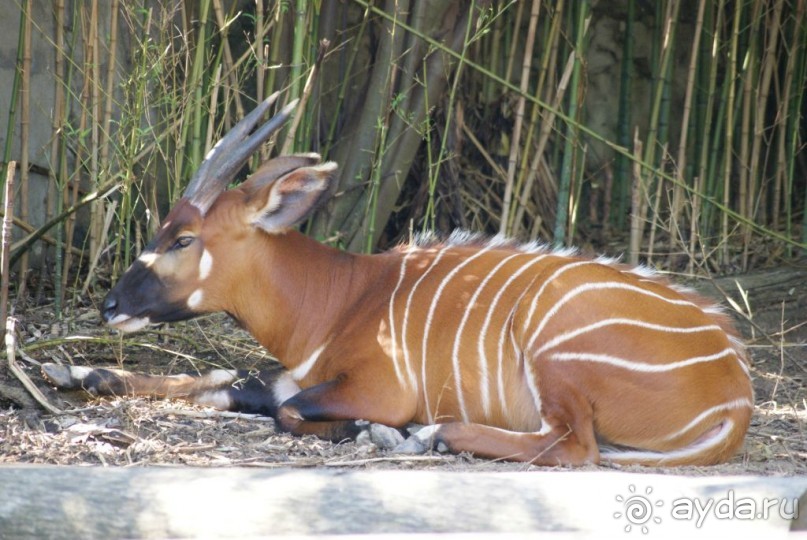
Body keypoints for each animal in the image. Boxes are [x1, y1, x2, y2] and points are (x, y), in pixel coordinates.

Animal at [44, 95, 756, 466]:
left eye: (184, 238)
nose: (111, 304)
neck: (340, 297)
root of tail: (737, 391)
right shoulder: (291, 373)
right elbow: (226, 382)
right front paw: (69, 371)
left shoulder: (377, 386)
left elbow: (288, 411)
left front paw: (371, 432)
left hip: (555, 357)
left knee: (575, 446)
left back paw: (429, 435)